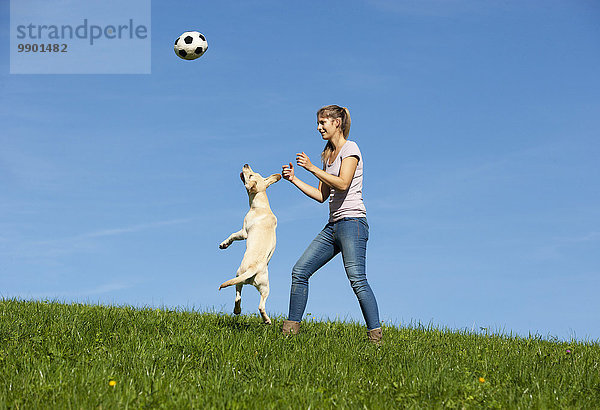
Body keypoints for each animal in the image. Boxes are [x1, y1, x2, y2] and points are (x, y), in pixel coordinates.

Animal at [218, 163, 282, 324]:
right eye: (254, 172)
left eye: (251, 175)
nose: (246, 164)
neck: (261, 205)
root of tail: (253, 268)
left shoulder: (244, 231)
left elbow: (232, 235)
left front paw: (224, 244)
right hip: (265, 287)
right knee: (261, 305)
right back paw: (267, 320)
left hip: (238, 275)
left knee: (238, 296)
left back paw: (237, 310)